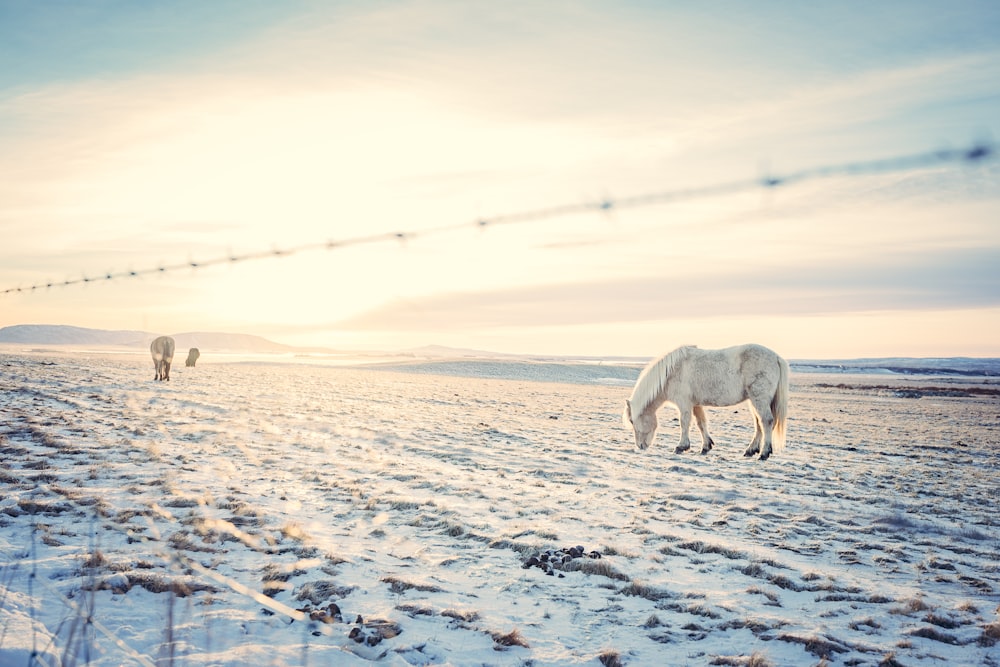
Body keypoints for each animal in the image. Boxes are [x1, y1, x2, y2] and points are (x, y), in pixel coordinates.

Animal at [624, 344, 788, 460]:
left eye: (632, 421)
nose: (640, 446)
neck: (671, 372)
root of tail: (776, 357)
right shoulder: (695, 404)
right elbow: (701, 423)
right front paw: (706, 447)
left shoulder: (684, 403)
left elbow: (684, 423)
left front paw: (681, 447)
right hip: (754, 401)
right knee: (759, 424)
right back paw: (751, 450)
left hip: (759, 399)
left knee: (766, 421)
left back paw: (764, 453)